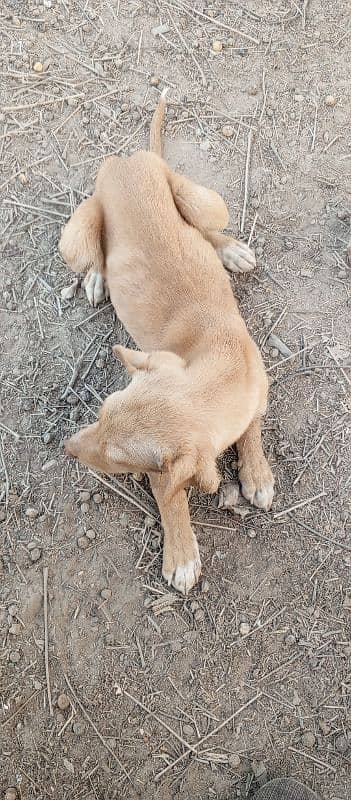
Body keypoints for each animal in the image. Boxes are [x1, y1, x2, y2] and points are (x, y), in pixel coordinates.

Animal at [60, 92, 276, 592]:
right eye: (100, 415)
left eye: (116, 457)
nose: (67, 448)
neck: (222, 368)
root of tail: (129, 160)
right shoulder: (166, 476)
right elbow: (172, 496)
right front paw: (181, 551)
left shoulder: (256, 393)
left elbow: (252, 429)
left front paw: (256, 471)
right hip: (75, 238)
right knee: (94, 252)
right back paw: (97, 277)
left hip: (206, 202)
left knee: (203, 225)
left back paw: (229, 249)